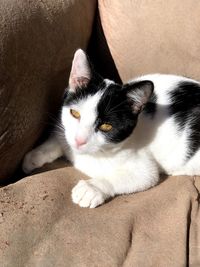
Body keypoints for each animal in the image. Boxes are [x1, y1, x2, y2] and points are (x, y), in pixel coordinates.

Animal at [22, 49, 200, 209]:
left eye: (106, 126)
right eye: (75, 113)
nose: (79, 141)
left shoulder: (144, 168)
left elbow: (139, 176)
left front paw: (91, 188)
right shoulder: (66, 132)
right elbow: (60, 140)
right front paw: (35, 156)